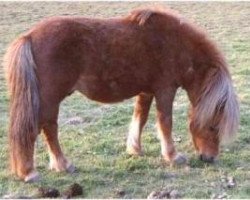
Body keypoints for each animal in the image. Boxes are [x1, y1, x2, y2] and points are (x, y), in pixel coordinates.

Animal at [3, 6, 238, 183]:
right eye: (213, 126)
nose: (209, 158)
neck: (175, 43)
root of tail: (30, 36)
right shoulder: (165, 90)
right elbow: (165, 122)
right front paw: (173, 156)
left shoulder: (146, 91)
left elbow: (140, 118)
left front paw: (134, 149)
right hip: (50, 99)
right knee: (46, 128)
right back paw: (45, 168)